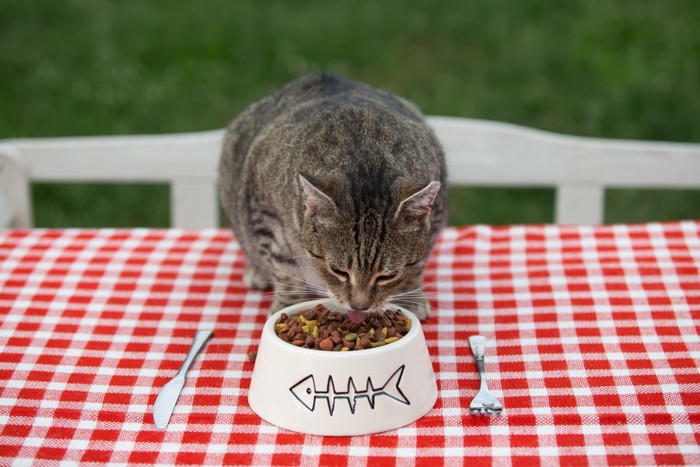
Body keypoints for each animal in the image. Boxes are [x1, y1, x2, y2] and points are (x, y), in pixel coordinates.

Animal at [220, 74, 448, 322]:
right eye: (338, 271)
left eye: (386, 276)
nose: (359, 306)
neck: (365, 161)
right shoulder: (265, 210)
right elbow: (286, 271)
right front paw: (289, 307)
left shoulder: (435, 213)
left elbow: (416, 266)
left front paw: (409, 297)